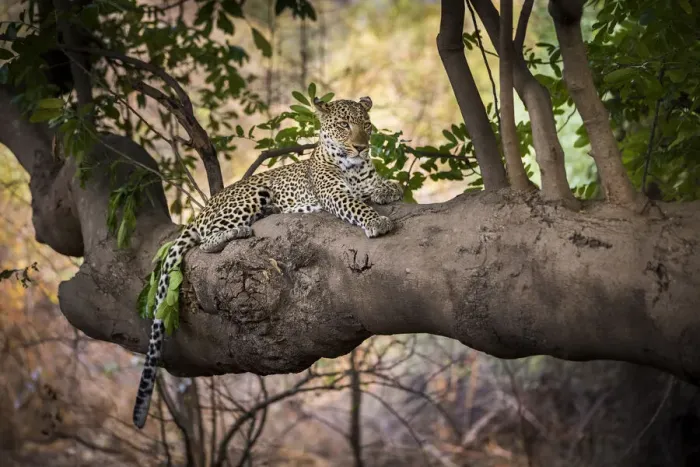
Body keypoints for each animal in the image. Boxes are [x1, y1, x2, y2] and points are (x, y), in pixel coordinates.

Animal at [132, 96, 403, 428]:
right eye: (343, 125)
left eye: (365, 124)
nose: (362, 147)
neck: (354, 167)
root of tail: (202, 211)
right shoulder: (333, 195)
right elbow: (356, 204)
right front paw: (376, 221)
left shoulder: (365, 178)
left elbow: (377, 185)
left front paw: (388, 188)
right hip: (249, 195)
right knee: (208, 239)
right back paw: (237, 231)